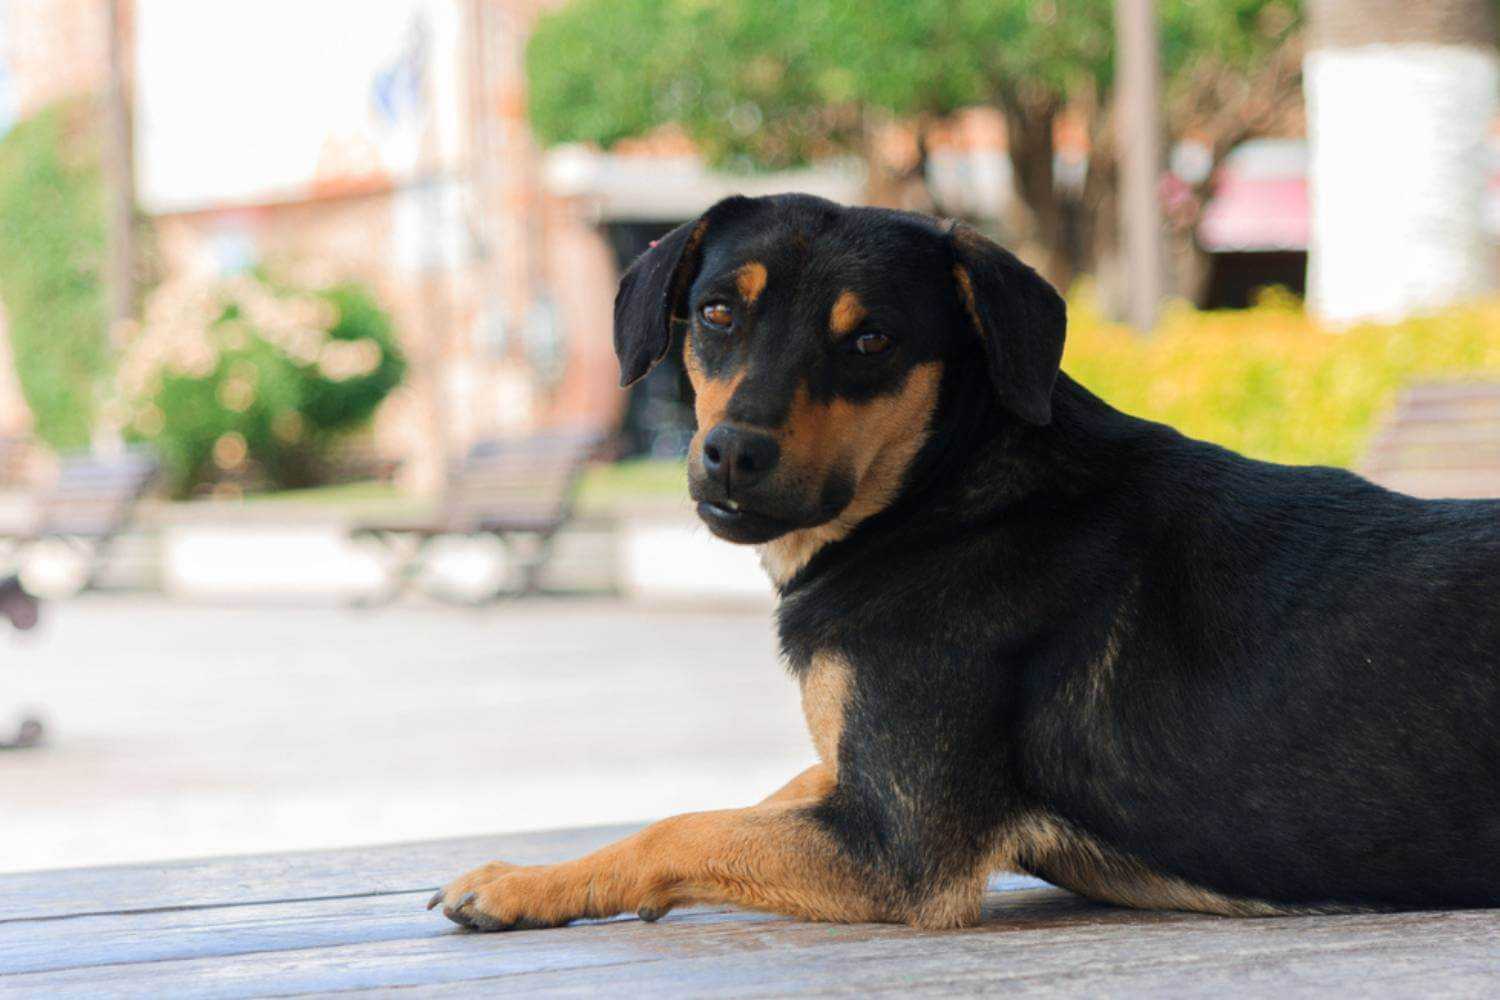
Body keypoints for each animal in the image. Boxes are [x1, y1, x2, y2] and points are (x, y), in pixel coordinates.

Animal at [429, 193, 1500, 929]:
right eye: (716, 313)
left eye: (871, 340)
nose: (732, 454)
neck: (937, 497)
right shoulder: (855, 777)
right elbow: (752, 798)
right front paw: (533, 879)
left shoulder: (896, 849)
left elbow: (689, 823)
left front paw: (531, 884)